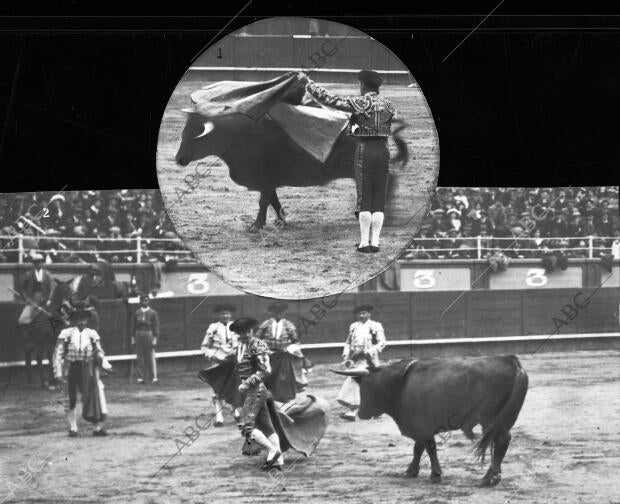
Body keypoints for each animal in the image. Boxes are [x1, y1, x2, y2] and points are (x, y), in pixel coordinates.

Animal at [172, 86, 410, 230]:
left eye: (195, 134)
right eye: (184, 132)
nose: (179, 159)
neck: (238, 137)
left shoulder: (266, 178)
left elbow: (263, 202)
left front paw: (256, 226)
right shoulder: (268, 182)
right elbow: (273, 201)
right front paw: (282, 220)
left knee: (389, 180)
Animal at [334, 354, 528, 488]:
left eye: (366, 387)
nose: (361, 412)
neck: (399, 384)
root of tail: (511, 361)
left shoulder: (423, 426)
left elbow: (429, 448)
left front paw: (435, 474)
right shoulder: (419, 428)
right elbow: (418, 448)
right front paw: (411, 471)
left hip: (491, 419)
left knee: (501, 439)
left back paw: (489, 478)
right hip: (503, 420)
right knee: (503, 440)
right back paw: (492, 476)